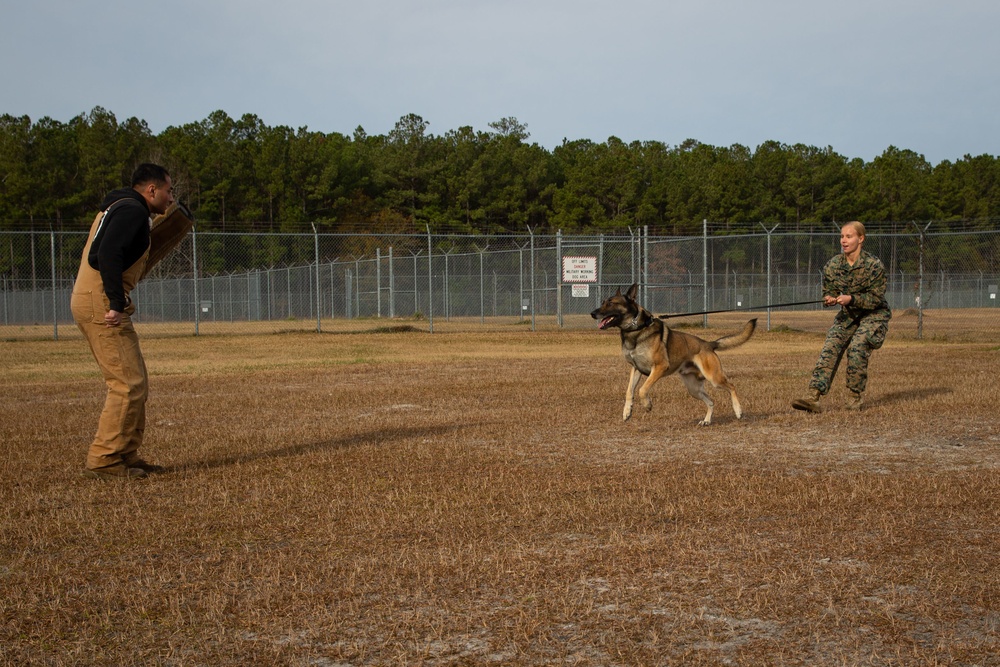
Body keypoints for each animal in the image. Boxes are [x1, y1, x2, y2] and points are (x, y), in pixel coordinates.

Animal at [588, 284, 752, 426]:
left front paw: (647, 405)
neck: (636, 330)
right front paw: (627, 412)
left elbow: (642, 389)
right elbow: (629, 391)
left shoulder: (659, 367)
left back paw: (738, 411)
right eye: (603, 302)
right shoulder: (636, 369)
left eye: (611, 303)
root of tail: (708, 344)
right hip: (693, 389)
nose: (592, 313)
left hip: (714, 378)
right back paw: (706, 421)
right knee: (711, 402)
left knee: (732, 386)